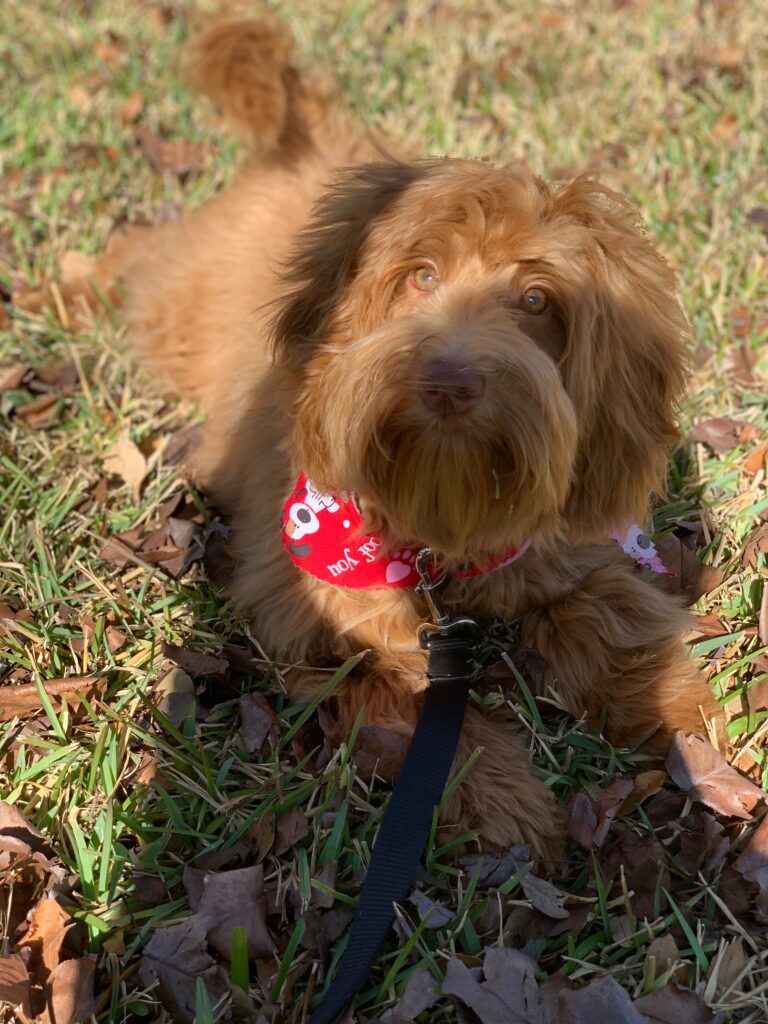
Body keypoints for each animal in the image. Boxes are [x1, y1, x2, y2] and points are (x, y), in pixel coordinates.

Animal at [25, 12, 720, 860]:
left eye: (535, 300)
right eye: (420, 276)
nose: (449, 381)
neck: (439, 525)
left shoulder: (566, 557)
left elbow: (615, 620)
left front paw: (684, 726)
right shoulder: (322, 613)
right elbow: (416, 702)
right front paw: (504, 798)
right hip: (172, 298)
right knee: (135, 259)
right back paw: (57, 289)